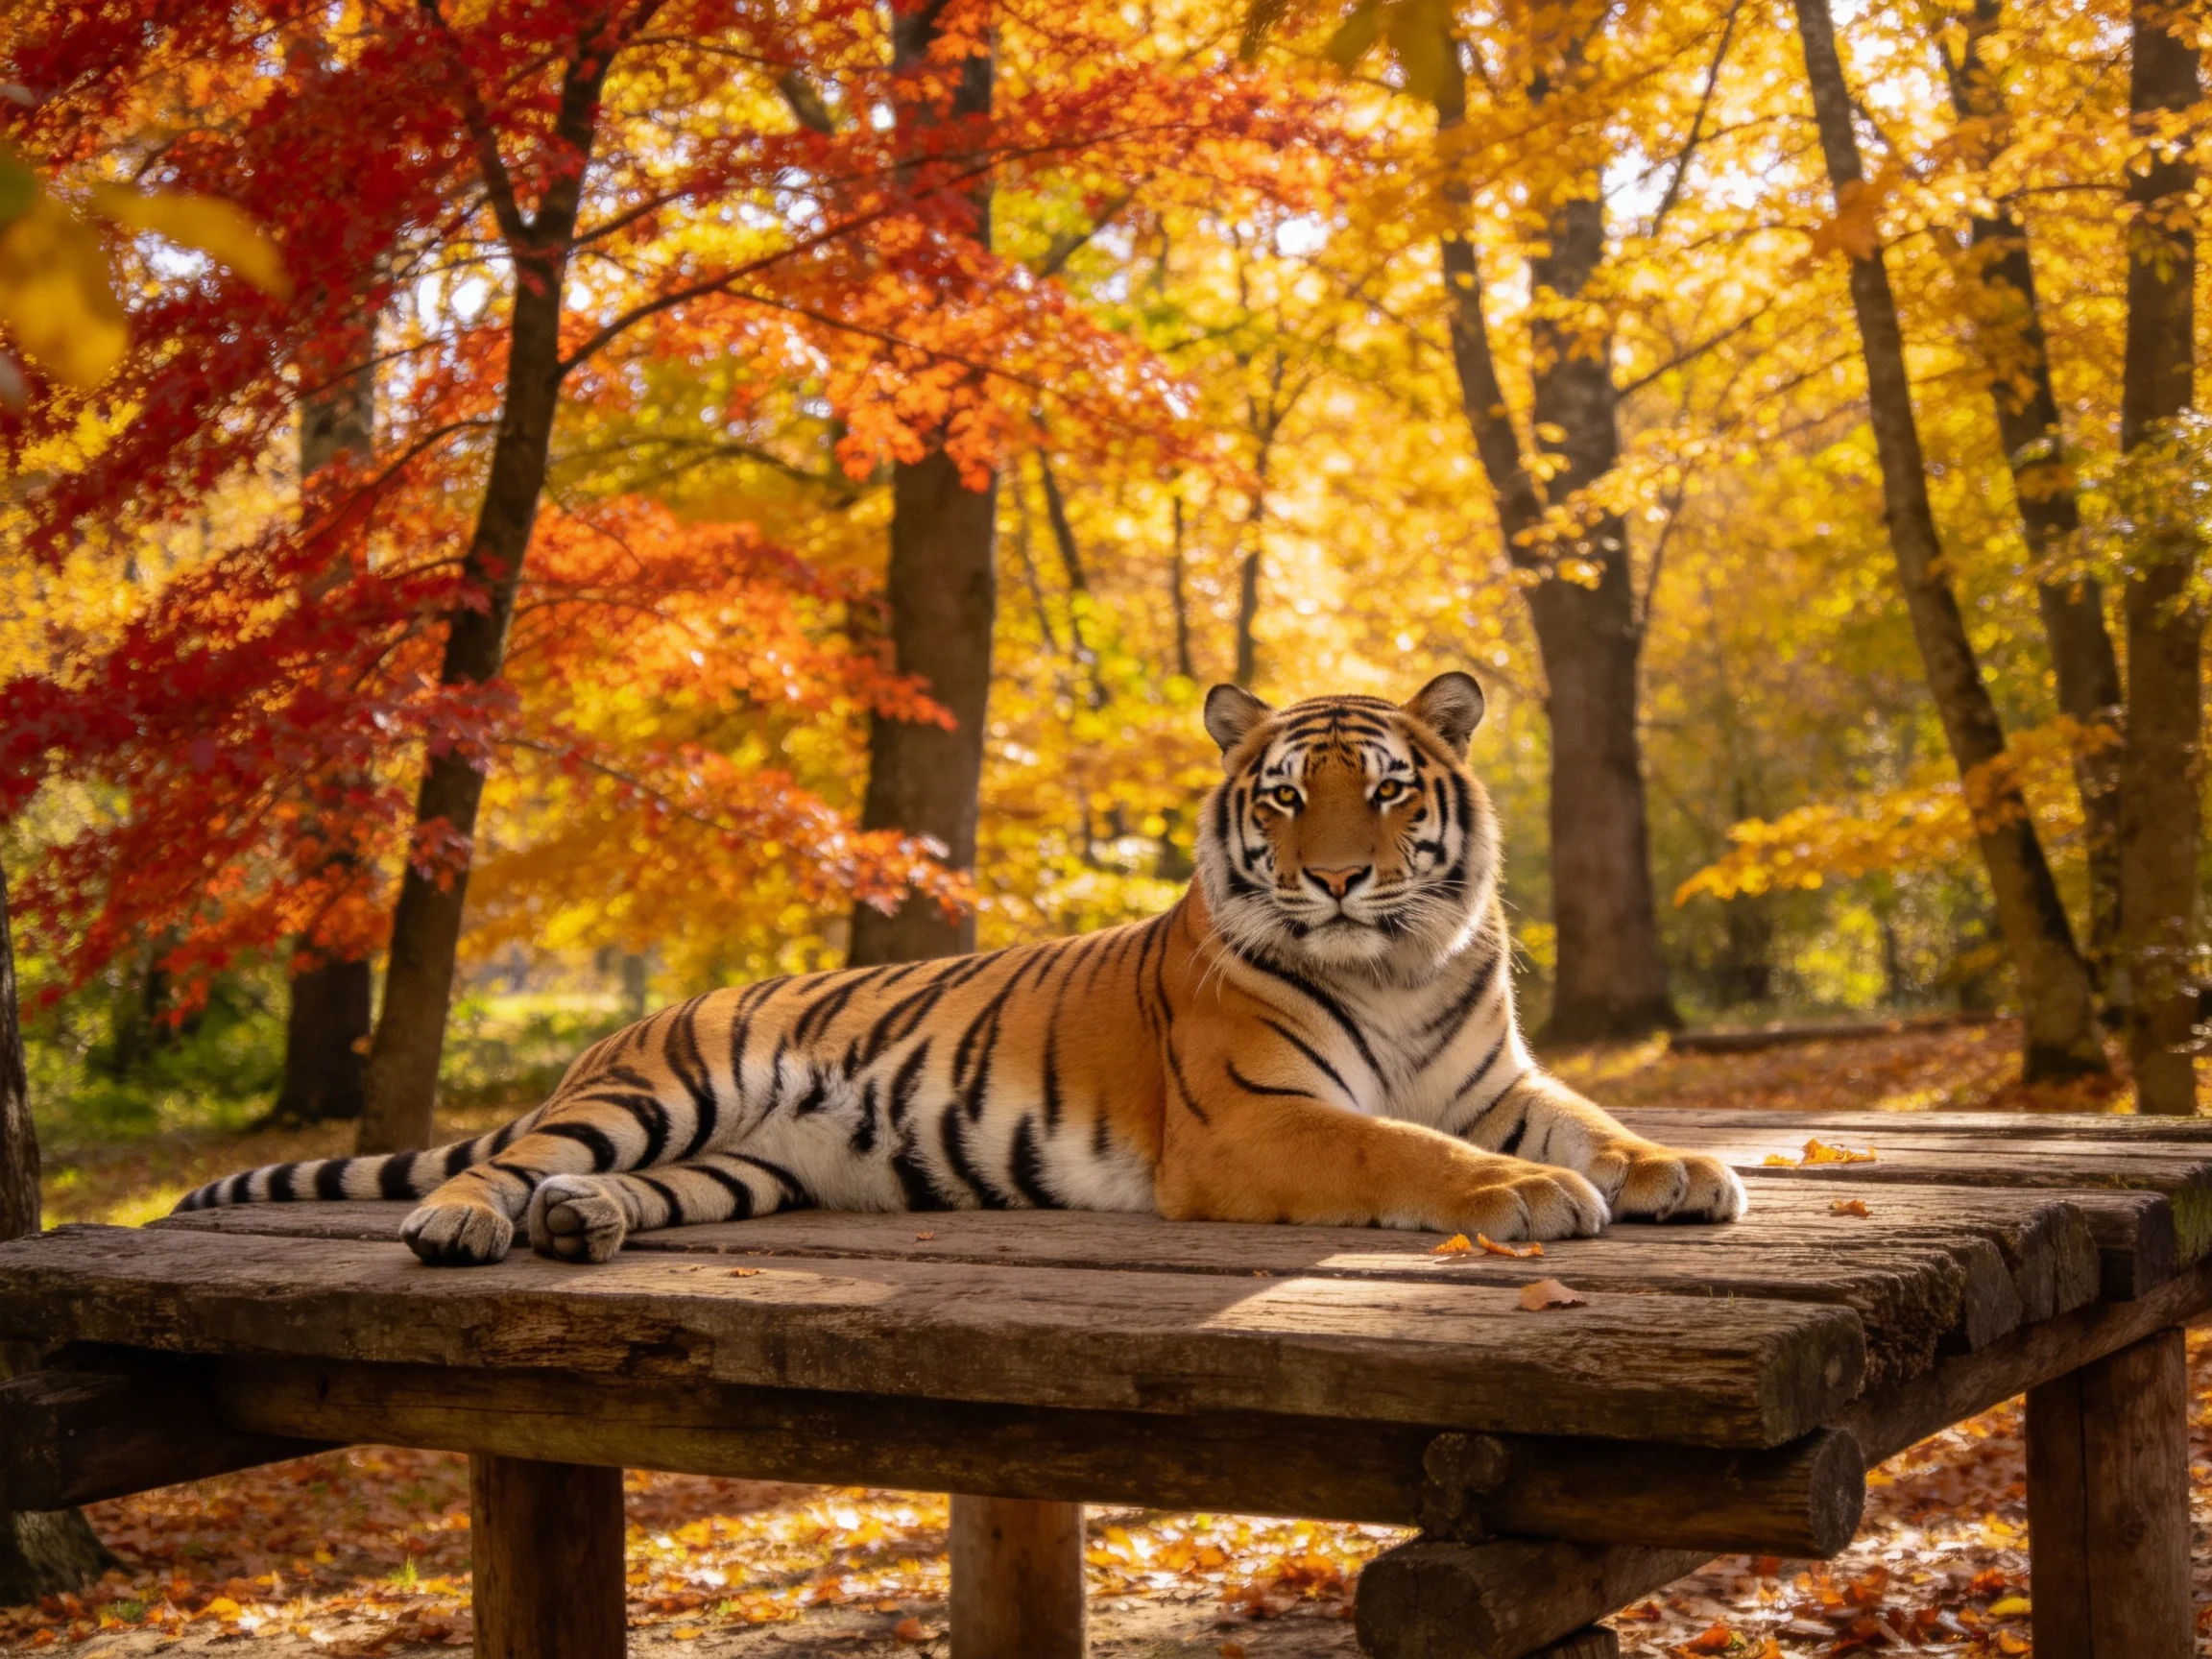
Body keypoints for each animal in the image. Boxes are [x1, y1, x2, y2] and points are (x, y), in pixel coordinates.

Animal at [177, 673, 1746, 1265]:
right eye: (1290, 797)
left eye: (1389, 792)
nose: (1343, 878)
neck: (1400, 964)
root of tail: (630, 1025)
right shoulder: (1252, 1121)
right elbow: (1403, 1151)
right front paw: (1528, 1197)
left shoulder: (1495, 1079)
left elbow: (1596, 1122)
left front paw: (1680, 1169)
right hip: (656, 1092)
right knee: (500, 1162)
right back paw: (467, 1224)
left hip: (743, 1166)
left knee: (609, 1184)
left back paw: (585, 1224)